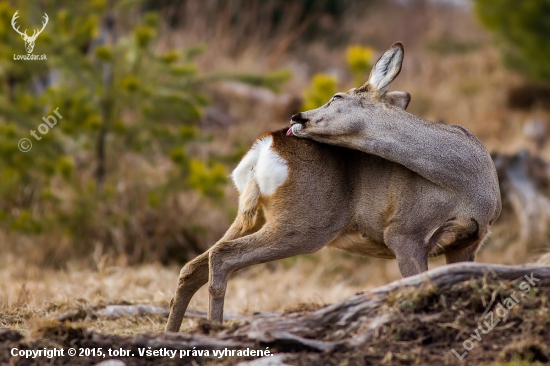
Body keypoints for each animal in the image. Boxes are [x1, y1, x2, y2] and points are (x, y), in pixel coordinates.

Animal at [165, 41, 504, 330]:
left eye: (336, 97)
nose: (297, 117)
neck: (466, 182)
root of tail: (265, 146)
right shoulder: (403, 232)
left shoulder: (469, 241)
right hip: (306, 222)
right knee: (221, 256)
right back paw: (213, 329)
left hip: (253, 215)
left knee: (193, 266)